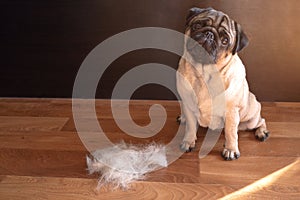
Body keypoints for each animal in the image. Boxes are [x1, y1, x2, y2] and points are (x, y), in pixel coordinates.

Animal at [177, 7, 270, 160]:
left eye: (225, 40)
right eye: (197, 26)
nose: (209, 34)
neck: (204, 74)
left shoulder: (231, 112)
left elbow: (231, 133)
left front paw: (231, 149)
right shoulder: (188, 105)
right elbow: (190, 127)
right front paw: (188, 141)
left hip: (250, 118)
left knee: (260, 121)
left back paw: (262, 132)